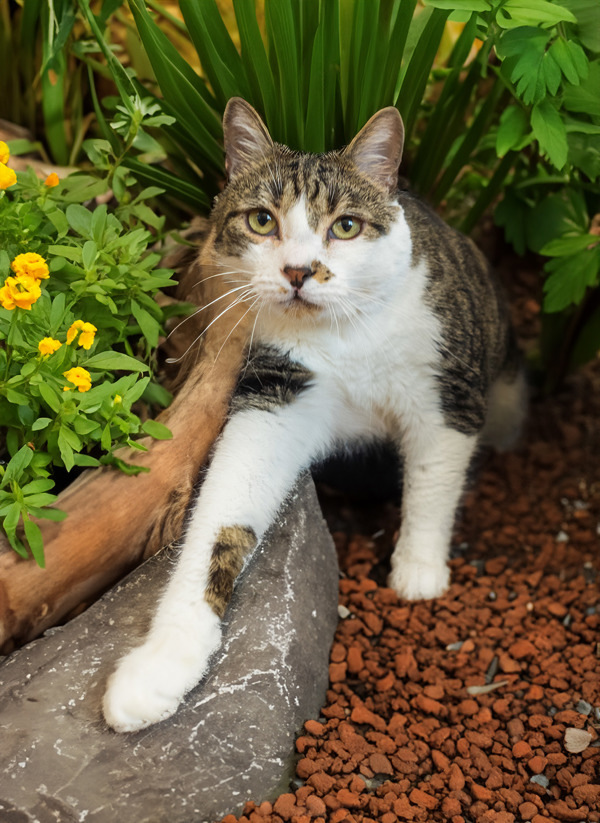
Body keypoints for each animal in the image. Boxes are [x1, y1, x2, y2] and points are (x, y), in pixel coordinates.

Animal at [103, 98, 524, 732]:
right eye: (261, 221)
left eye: (346, 225)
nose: (299, 271)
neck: (347, 333)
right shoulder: (278, 392)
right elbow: (220, 519)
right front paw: (158, 667)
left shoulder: (448, 392)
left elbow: (433, 481)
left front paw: (418, 571)